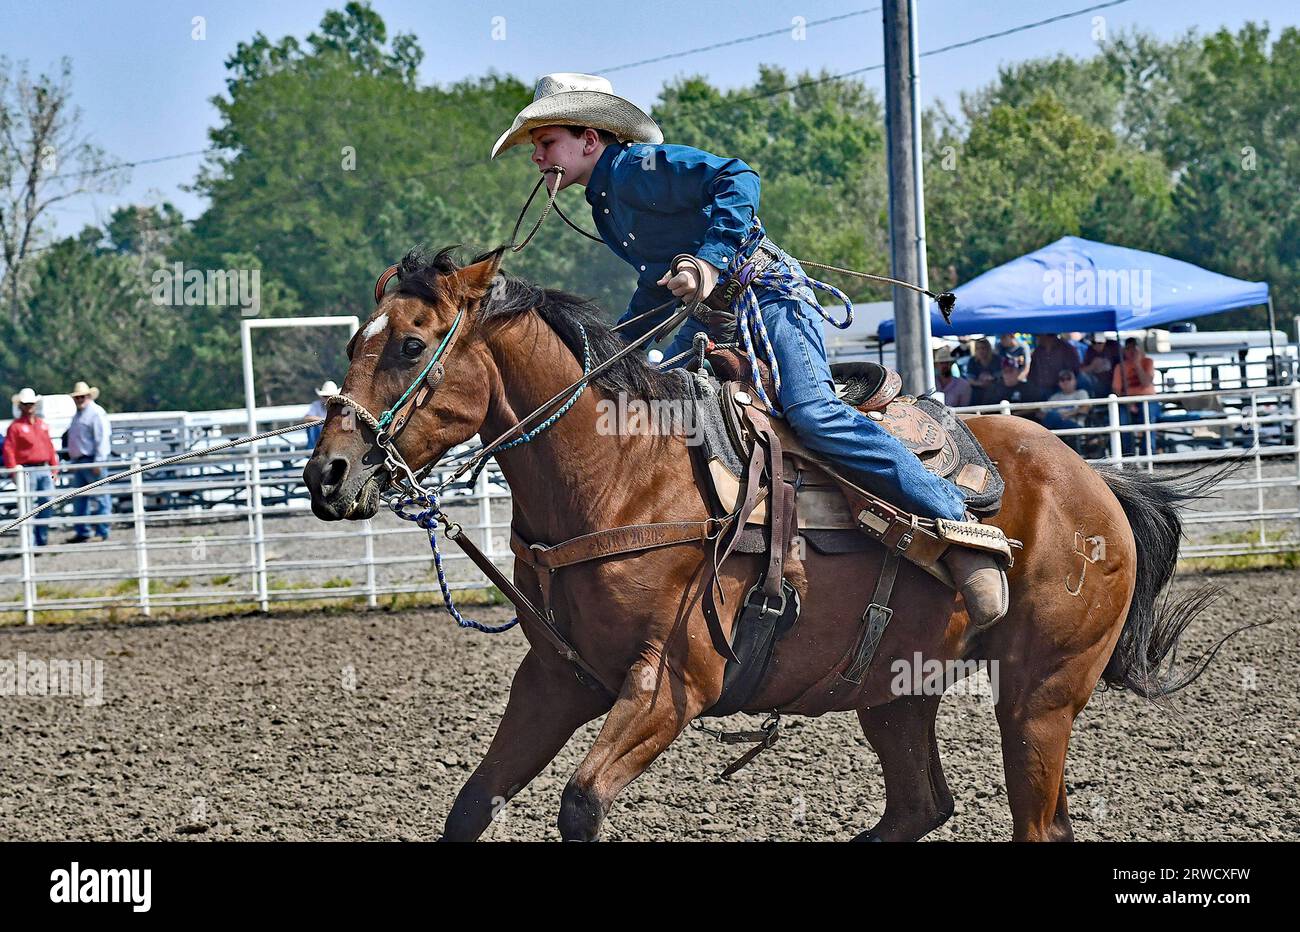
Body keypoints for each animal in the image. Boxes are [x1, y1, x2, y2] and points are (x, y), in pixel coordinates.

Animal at [304, 245, 1216, 837]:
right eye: (353, 343)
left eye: (412, 345)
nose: (328, 474)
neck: (623, 474)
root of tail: (1096, 483)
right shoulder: (556, 678)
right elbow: (473, 804)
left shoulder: (670, 685)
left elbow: (581, 803)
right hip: (896, 689)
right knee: (920, 806)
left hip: (1039, 695)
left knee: (1033, 823)